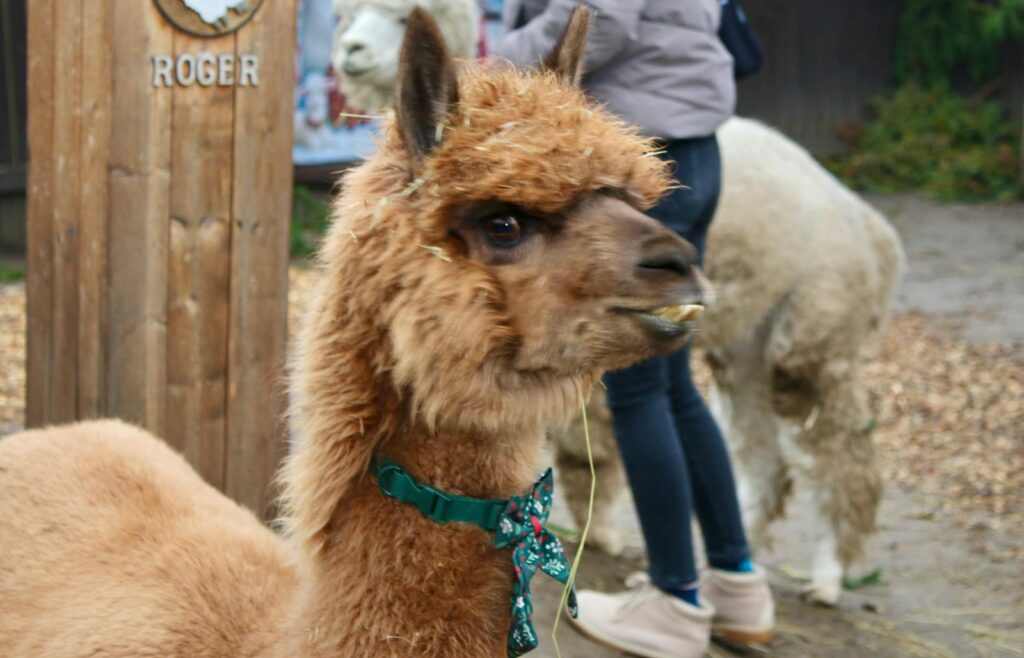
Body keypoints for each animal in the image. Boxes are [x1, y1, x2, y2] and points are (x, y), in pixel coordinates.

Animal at [552, 116, 905, 606]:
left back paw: (826, 578)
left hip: (813, 322)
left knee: (838, 451)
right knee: (765, 457)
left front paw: (598, 534)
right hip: (750, 339)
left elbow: (586, 447)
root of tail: (866, 224)